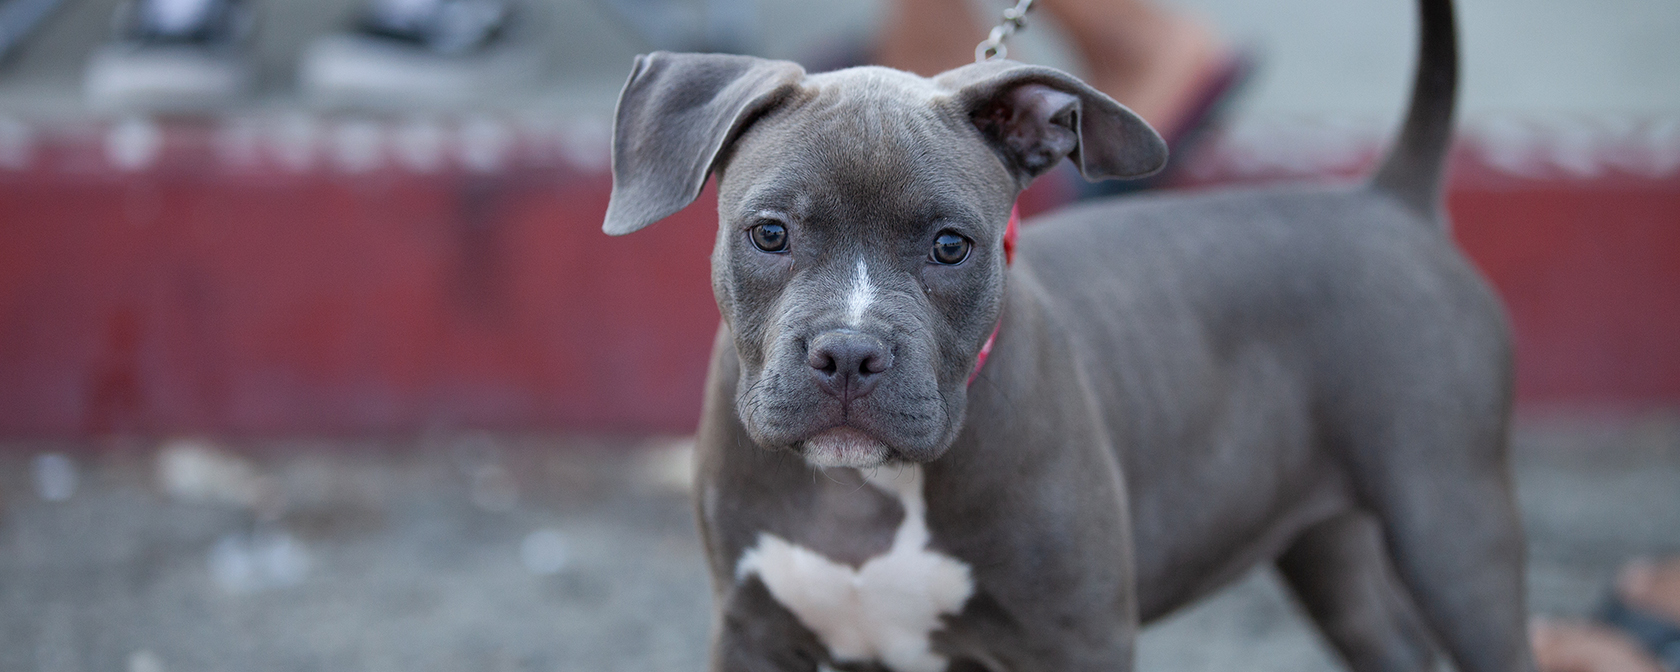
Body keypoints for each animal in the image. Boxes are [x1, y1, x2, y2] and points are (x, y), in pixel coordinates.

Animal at [601, 0, 1538, 665]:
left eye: (952, 245)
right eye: (770, 233)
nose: (849, 354)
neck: (867, 492)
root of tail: (1390, 199)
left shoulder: (1076, 638)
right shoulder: (753, 631)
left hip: (1451, 520)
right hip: (1327, 545)